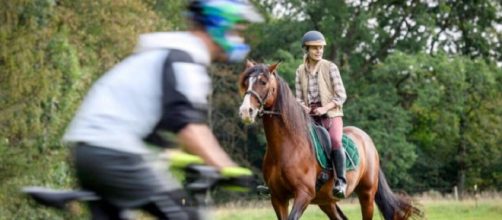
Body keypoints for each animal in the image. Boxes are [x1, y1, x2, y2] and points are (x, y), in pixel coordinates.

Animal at [237, 60, 422, 220]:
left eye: (263, 82)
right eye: (246, 82)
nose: (246, 111)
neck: (287, 147)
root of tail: (366, 139)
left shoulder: (303, 194)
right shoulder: (278, 198)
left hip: (367, 194)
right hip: (327, 201)